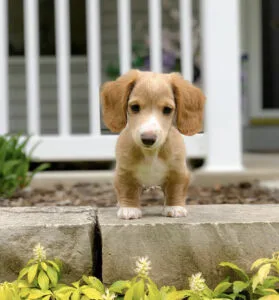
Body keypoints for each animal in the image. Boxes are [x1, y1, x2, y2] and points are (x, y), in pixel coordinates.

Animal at [100, 70, 206, 220]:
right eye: (135, 107)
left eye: (167, 109)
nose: (148, 139)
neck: (151, 153)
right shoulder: (124, 172)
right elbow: (127, 190)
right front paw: (129, 208)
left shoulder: (178, 172)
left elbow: (176, 189)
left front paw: (175, 207)